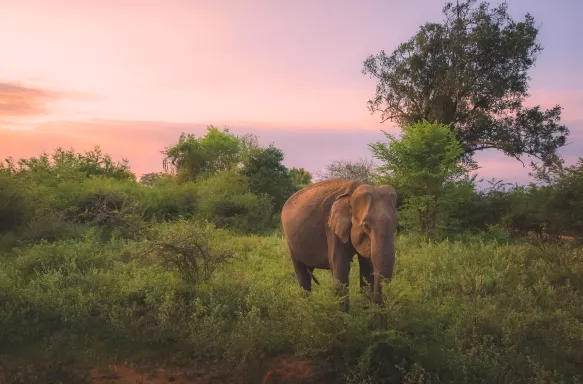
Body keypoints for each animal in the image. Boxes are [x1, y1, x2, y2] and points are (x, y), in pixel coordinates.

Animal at [280, 178, 400, 310]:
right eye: (366, 226)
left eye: (396, 224)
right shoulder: (331, 225)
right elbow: (340, 268)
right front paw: (342, 315)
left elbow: (367, 269)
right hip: (289, 241)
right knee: (301, 273)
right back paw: (306, 307)